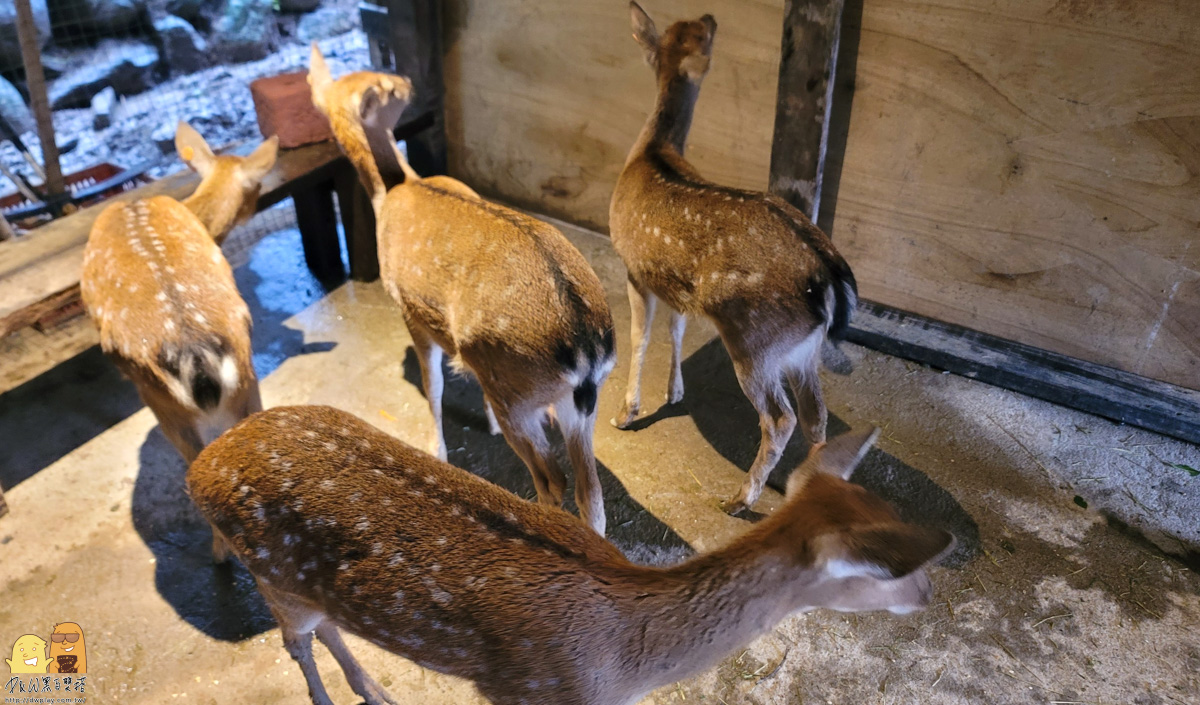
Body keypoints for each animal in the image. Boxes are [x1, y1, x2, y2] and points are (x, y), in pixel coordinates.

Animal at [81, 122, 276, 556]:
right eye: (256, 187)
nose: (257, 204)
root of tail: (194, 351)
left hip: (159, 398)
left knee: (194, 468)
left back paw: (220, 554)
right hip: (248, 379)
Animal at [187, 405, 955, 705]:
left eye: (890, 511)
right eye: (898, 568)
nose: (929, 597)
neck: (624, 669)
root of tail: (202, 464)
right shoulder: (526, 691)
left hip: (305, 581)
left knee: (327, 628)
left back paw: (375, 688)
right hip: (269, 567)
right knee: (296, 640)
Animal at [307, 45, 619, 534]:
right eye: (384, 82)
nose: (409, 81)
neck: (395, 189)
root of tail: (588, 347)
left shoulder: (409, 308)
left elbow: (432, 385)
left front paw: (436, 449)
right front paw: (482, 422)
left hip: (514, 384)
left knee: (553, 479)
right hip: (580, 401)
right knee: (592, 495)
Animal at [609, 2, 864, 515]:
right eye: (688, 30)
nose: (710, 14)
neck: (650, 152)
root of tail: (828, 276)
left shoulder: (633, 267)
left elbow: (639, 337)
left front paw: (626, 413)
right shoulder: (673, 284)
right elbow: (676, 328)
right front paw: (674, 392)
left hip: (755, 340)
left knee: (781, 418)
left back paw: (739, 499)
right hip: (801, 349)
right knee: (817, 414)